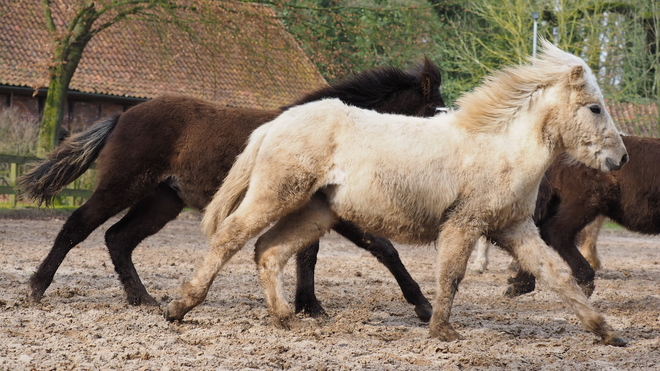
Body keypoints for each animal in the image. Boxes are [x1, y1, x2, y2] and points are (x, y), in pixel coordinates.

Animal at [19, 59, 444, 322]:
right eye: (433, 114)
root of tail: (123, 115)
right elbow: (383, 248)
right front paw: (423, 306)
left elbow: (310, 255)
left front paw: (309, 306)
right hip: (122, 186)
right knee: (78, 225)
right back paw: (36, 288)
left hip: (162, 201)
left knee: (118, 238)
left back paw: (143, 299)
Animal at [165, 42, 628, 348]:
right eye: (594, 108)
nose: (620, 158)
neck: (499, 146)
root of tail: (273, 124)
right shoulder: (464, 224)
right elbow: (451, 275)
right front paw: (441, 329)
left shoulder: (515, 229)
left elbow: (557, 275)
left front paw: (606, 332)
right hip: (276, 196)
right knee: (230, 237)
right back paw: (180, 307)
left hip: (316, 213)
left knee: (269, 250)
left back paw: (283, 317)